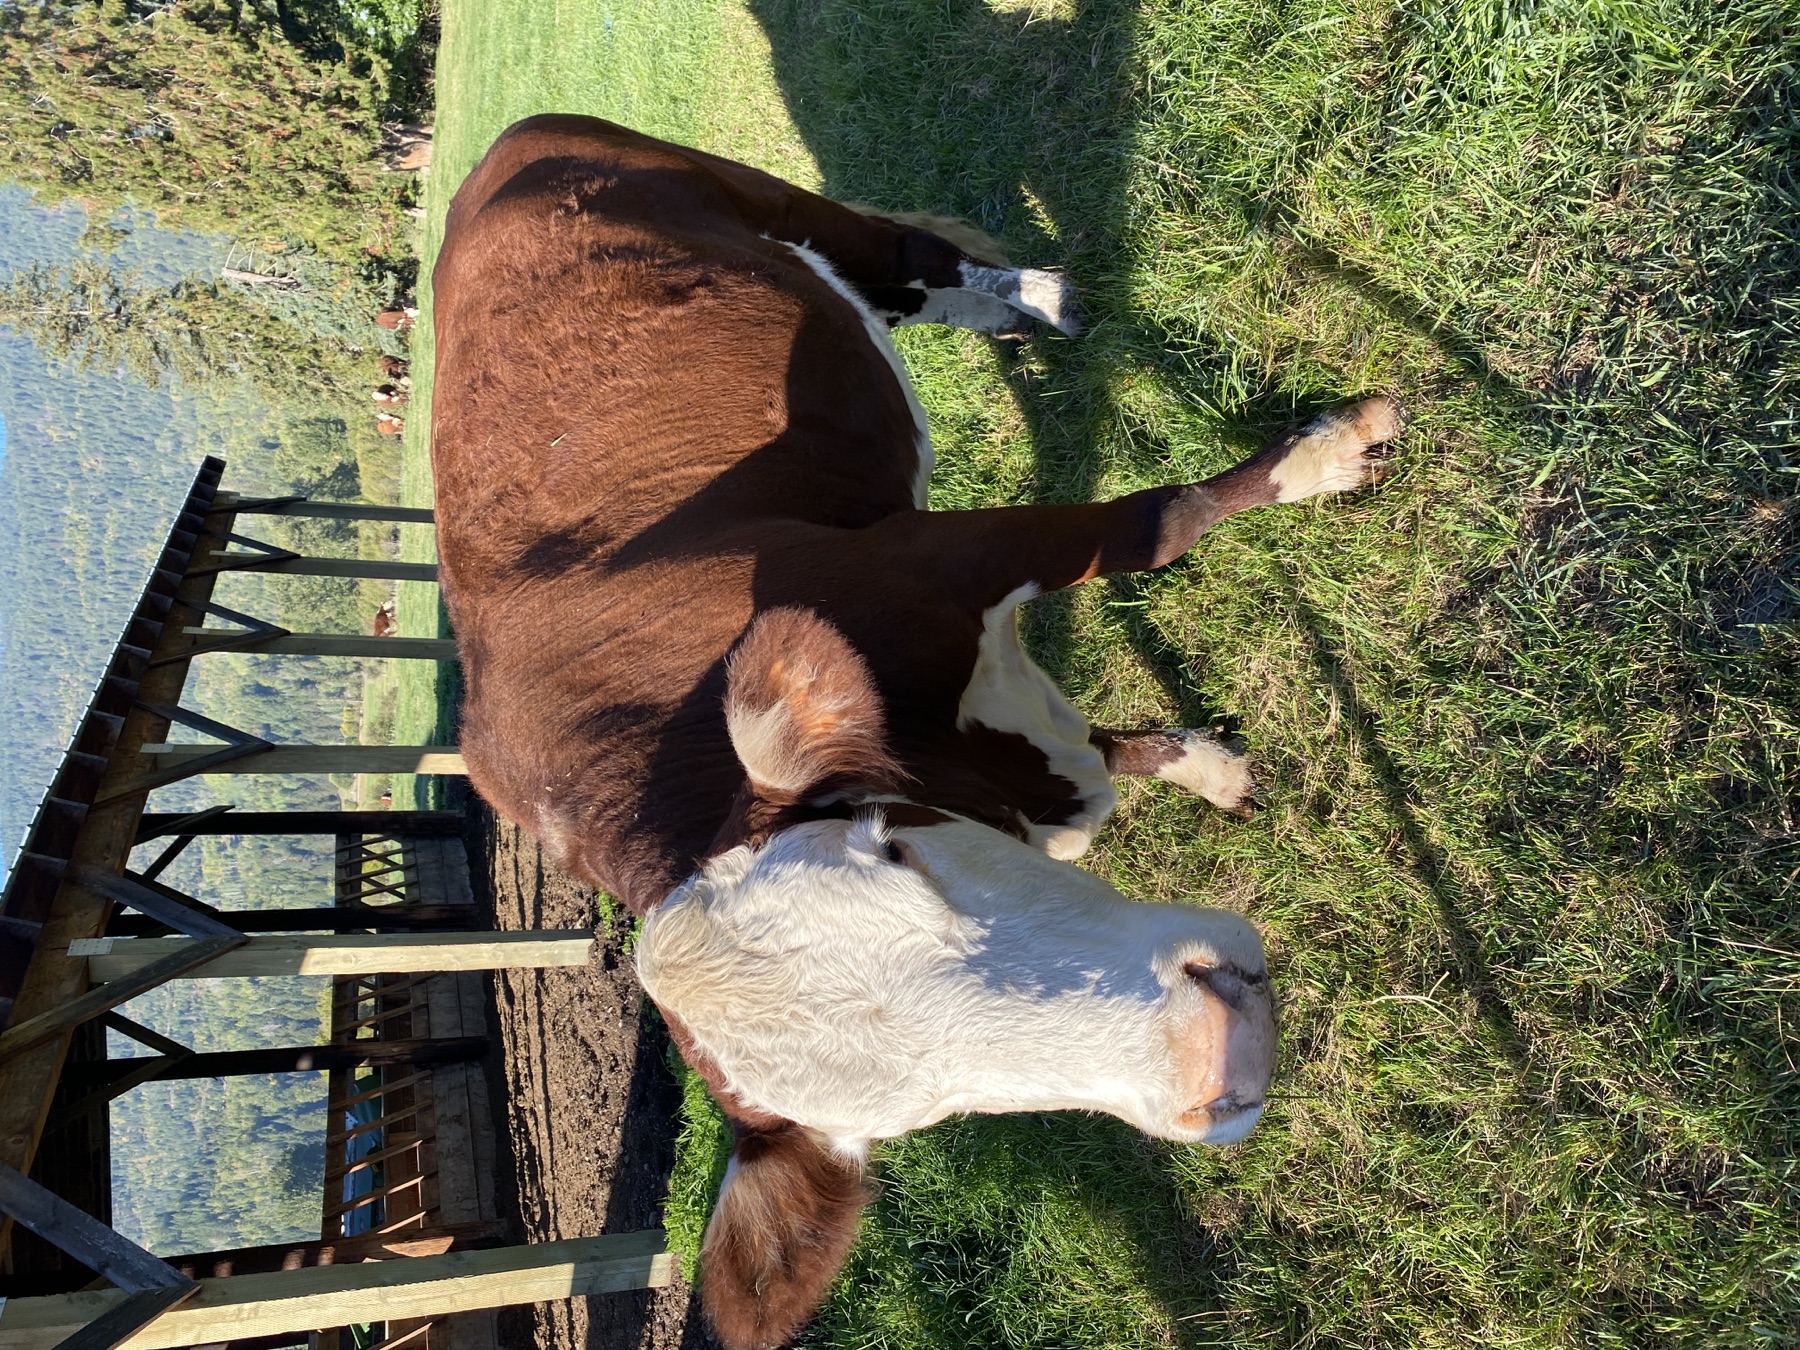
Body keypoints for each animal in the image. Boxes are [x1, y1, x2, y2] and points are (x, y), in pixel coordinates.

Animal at [430, 115, 1403, 1349]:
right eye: (918, 1116)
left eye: (898, 850)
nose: (1221, 1049)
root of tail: (481, 177)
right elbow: (1106, 755)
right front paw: (1208, 768)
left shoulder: (940, 556)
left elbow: (1162, 520)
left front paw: (1329, 452)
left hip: (750, 196)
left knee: (900, 256)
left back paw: (1036, 298)